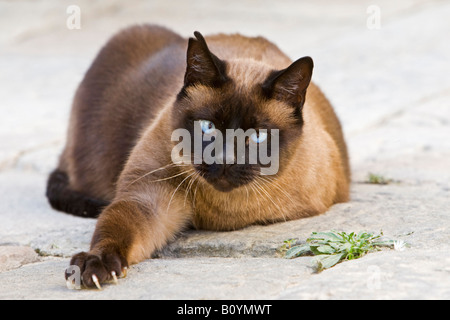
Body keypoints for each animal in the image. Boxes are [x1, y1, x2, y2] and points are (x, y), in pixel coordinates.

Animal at [49, 25, 352, 288]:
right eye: (208, 127)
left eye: (257, 136)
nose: (226, 160)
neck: (226, 215)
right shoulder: (149, 195)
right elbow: (116, 226)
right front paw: (96, 264)